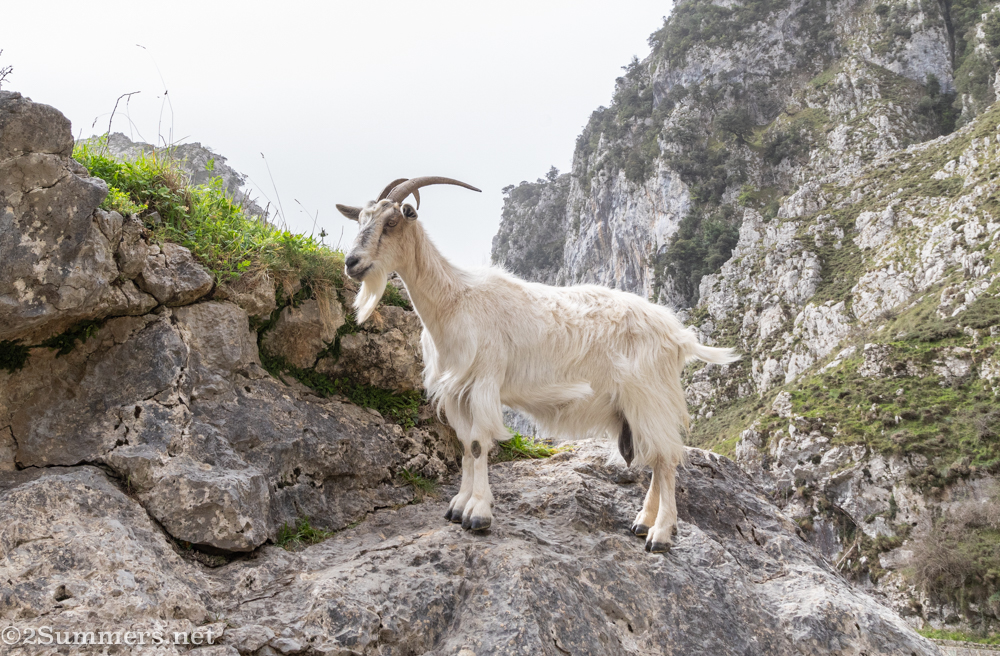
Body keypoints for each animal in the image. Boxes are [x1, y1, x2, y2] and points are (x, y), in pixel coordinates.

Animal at [337, 177, 738, 553]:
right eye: (360, 219)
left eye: (391, 222)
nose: (351, 263)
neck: (454, 300)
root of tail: (679, 335)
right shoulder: (456, 391)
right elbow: (466, 446)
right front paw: (458, 506)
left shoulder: (484, 381)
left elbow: (479, 444)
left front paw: (478, 514)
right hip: (636, 406)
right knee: (656, 458)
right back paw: (642, 522)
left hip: (650, 395)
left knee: (667, 459)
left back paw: (660, 534)